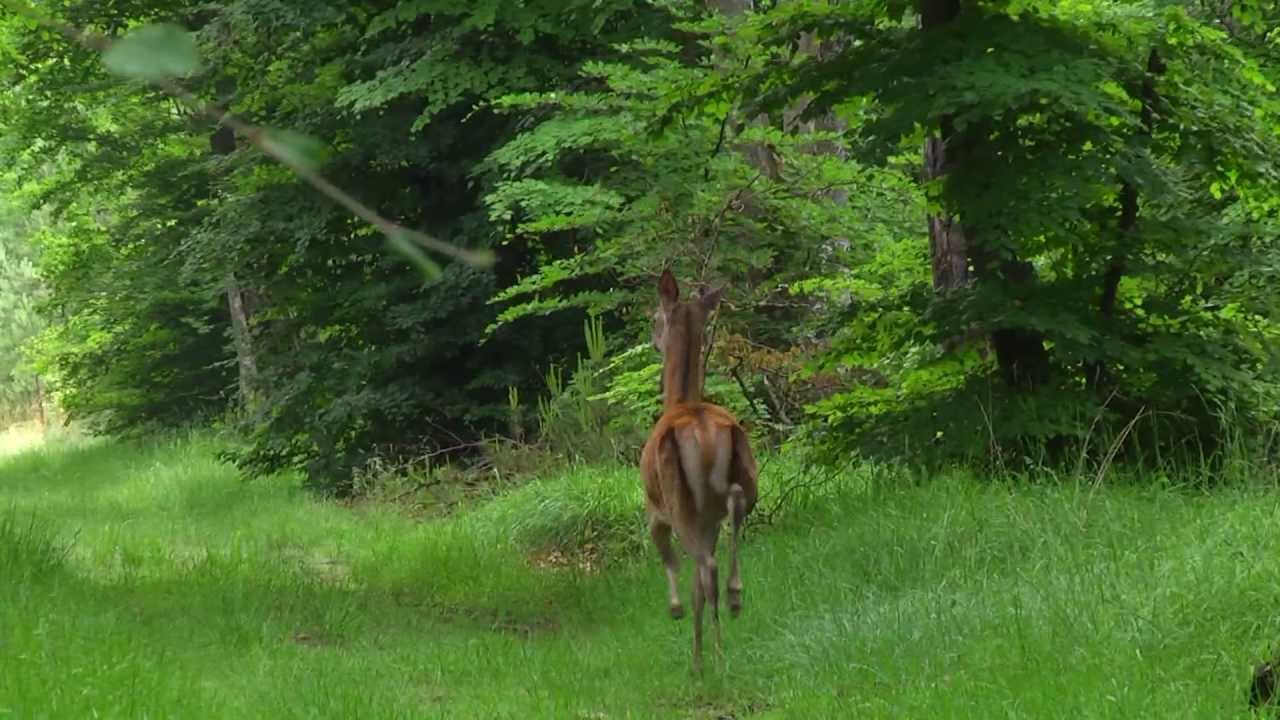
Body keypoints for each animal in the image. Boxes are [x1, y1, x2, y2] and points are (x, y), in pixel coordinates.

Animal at [640, 269, 759, 673]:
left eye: (655, 318)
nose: (653, 339)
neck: (679, 400)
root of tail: (705, 432)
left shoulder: (654, 509)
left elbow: (669, 559)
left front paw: (676, 613)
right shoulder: (706, 519)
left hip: (679, 501)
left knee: (706, 567)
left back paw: (710, 656)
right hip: (741, 476)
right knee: (737, 509)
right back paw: (734, 603)